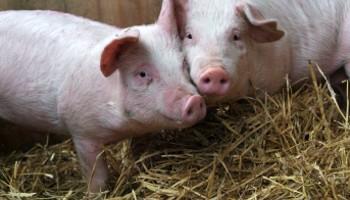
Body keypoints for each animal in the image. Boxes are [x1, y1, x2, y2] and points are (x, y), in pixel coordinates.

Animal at [0, 0, 206, 193]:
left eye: (184, 64)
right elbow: (96, 174)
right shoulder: (81, 131)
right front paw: (97, 193)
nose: (194, 100)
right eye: (142, 74)